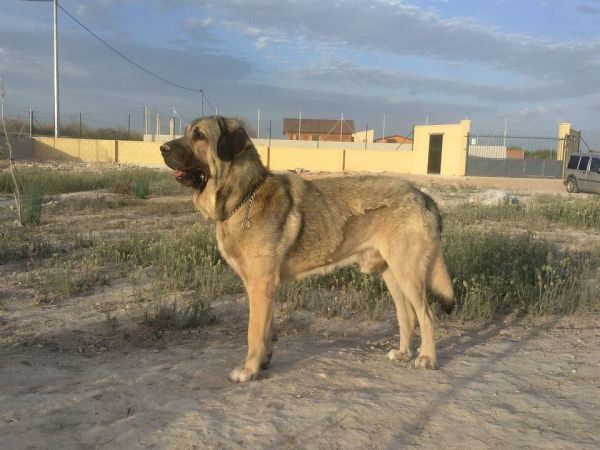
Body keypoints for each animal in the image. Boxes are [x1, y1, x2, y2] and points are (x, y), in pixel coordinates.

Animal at [159, 116, 454, 384]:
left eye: (199, 136)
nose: (162, 148)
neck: (244, 197)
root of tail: (422, 195)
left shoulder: (261, 284)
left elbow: (254, 332)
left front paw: (249, 370)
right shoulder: (262, 287)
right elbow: (267, 330)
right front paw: (263, 361)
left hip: (408, 274)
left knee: (426, 316)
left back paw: (427, 358)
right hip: (392, 275)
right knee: (407, 317)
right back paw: (404, 353)